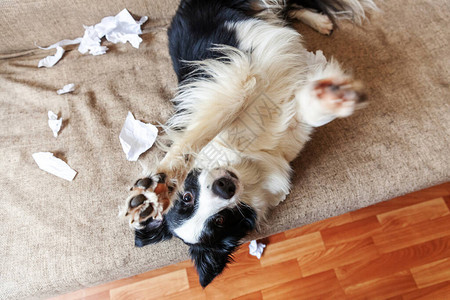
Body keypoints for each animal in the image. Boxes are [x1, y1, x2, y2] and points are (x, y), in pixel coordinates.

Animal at [119, 0, 376, 288]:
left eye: (187, 197)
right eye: (220, 220)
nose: (224, 187)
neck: (246, 157)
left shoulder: (232, 80)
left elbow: (206, 128)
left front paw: (155, 189)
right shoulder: (290, 125)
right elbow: (311, 111)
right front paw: (332, 96)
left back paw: (318, 22)